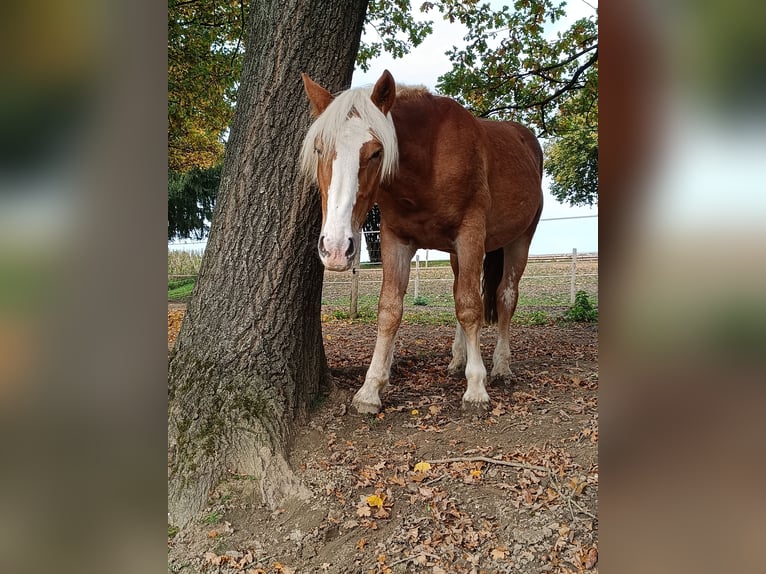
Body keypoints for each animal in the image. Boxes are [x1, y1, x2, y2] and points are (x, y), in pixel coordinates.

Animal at [302, 70, 544, 416]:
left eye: (376, 152)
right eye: (320, 149)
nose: (335, 248)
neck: (429, 160)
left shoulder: (470, 234)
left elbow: (470, 306)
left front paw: (476, 388)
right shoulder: (396, 240)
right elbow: (390, 309)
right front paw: (371, 389)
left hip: (519, 240)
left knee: (504, 297)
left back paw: (501, 367)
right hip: (458, 254)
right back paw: (458, 360)